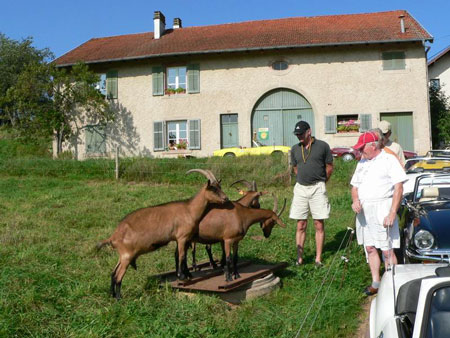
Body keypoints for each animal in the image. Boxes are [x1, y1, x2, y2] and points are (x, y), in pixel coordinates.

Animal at [96, 169, 227, 298]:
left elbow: (178, 255)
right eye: (213, 189)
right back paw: (119, 298)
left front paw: (186, 274)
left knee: (113, 273)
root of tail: (113, 236)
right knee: (118, 275)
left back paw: (112, 295)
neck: (189, 210)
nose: (226, 199)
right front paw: (182, 276)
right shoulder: (182, 237)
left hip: (122, 255)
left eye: (219, 186)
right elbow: (182, 256)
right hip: (126, 256)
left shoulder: (180, 239)